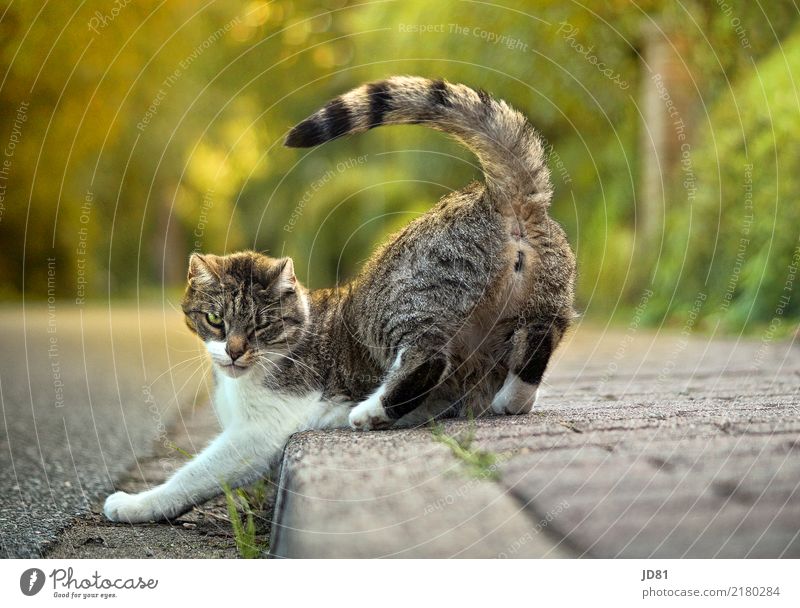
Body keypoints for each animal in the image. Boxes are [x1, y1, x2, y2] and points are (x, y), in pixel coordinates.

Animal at [104, 76, 576, 524]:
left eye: (262, 325)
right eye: (215, 320)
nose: (235, 352)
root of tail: (496, 198)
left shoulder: (260, 431)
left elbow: (197, 474)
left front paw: (135, 503)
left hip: (393, 303)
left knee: (429, 360)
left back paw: (371, 412)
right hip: (544, 304)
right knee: (535, 348)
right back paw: (507, 399)